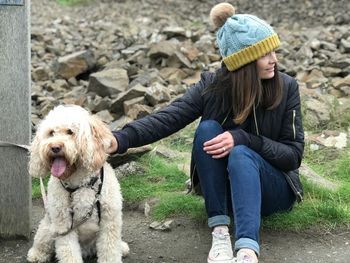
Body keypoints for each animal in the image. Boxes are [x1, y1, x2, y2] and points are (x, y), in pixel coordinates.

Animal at [27, 105, 129, 263]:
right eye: (51, 133)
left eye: (70, 131)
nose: (54, 147)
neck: (81, 184)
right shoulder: (63, 225)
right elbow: (69, 251)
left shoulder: (109, 222)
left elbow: (110, 250)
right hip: (48, 228)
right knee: (42, 242)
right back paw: (37, 254)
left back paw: (122, 247)